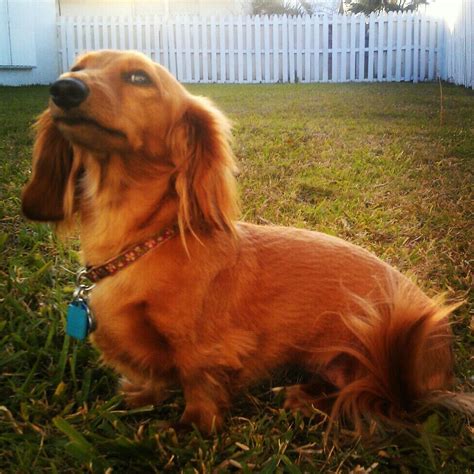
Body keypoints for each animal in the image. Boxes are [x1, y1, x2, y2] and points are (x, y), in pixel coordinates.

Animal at [21, 50, 466, 436]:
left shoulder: (205, 348)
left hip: (371, 351)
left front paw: (188, 429)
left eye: (139, 78)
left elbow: (198, 385)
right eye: (78, 67)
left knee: (368, 398)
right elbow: (153, 377)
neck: (142, 242)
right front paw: (142, 396)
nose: (63, 88)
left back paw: (308, 401)